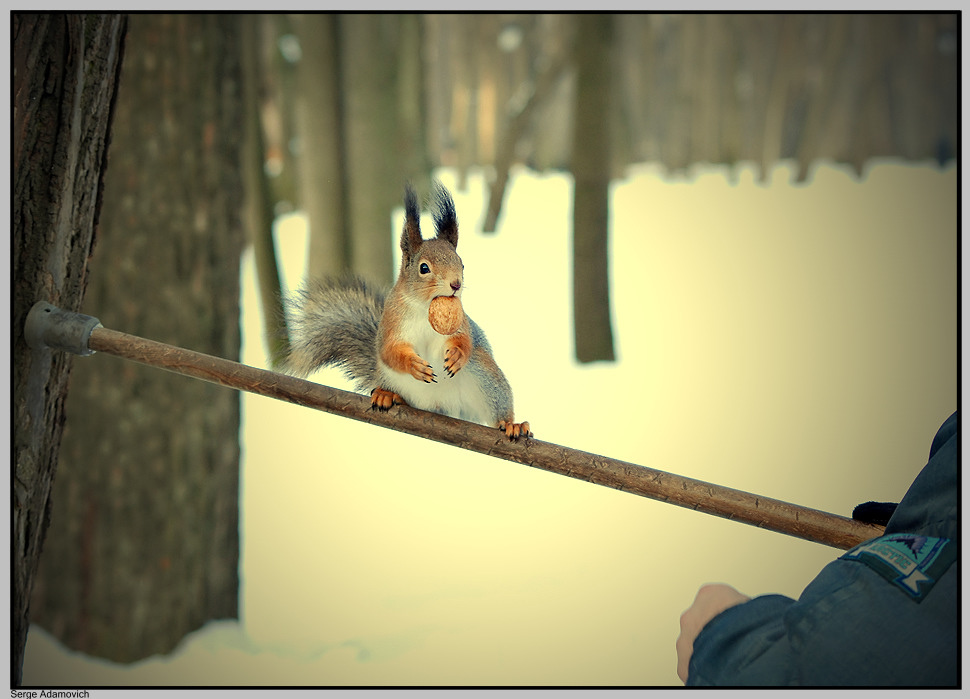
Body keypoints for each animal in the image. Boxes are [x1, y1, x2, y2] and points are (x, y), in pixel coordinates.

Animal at [285, 180, 531, 441]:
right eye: (424, 268)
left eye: (462, 263)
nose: (456, 284)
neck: (425, 308)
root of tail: (443, 407)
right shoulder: (392, 323)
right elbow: (389, 351)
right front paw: (414, 365)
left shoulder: (461, 323)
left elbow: (466, 340)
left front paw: (457, 354)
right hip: (395, 380)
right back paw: (389, 395)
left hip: (485, 376)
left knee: (497, 407)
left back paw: (511, 424)